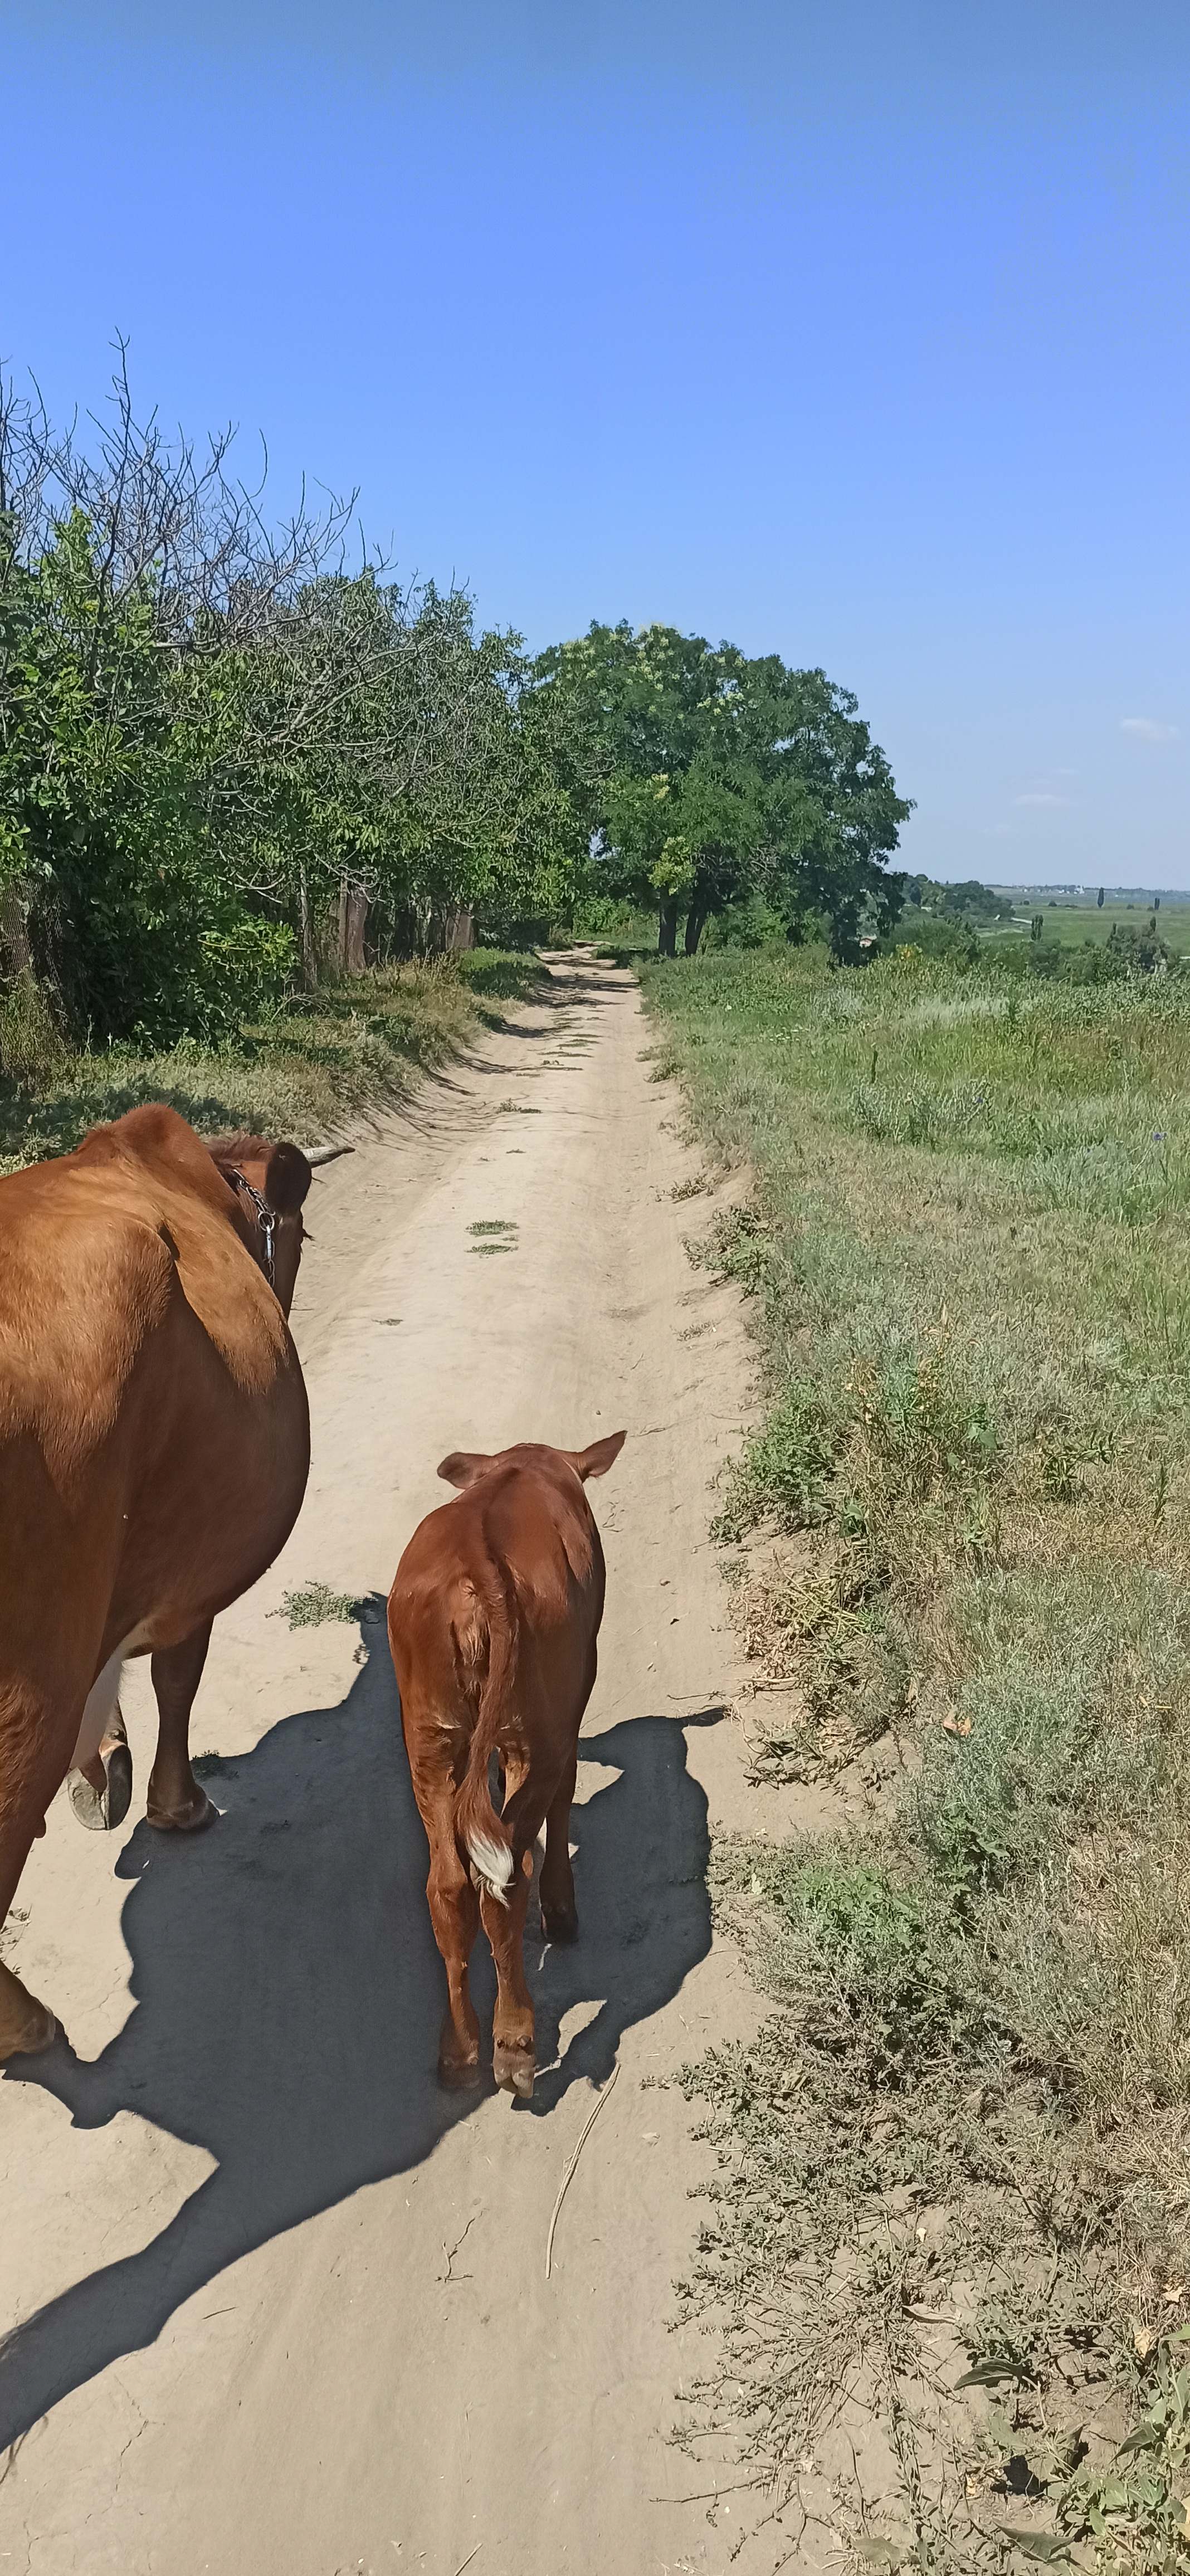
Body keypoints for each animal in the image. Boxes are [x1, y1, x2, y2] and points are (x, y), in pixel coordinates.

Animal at [0, 1102, 314, 2050]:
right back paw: (22, 2024)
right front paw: (178, 1806)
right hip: (29, 1690)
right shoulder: (191, 1577)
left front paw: (103, 1765)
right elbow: (179, 1679)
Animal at [386, 1432, 628, 2091]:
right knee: (507, 1877)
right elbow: (566, 1797)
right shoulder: (574, 1697)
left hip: (429, 1738)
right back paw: (515, 2042)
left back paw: (459, 2049)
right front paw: (563, 1911)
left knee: (448, 1886)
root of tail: (479, 1565)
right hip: (534, 1729)